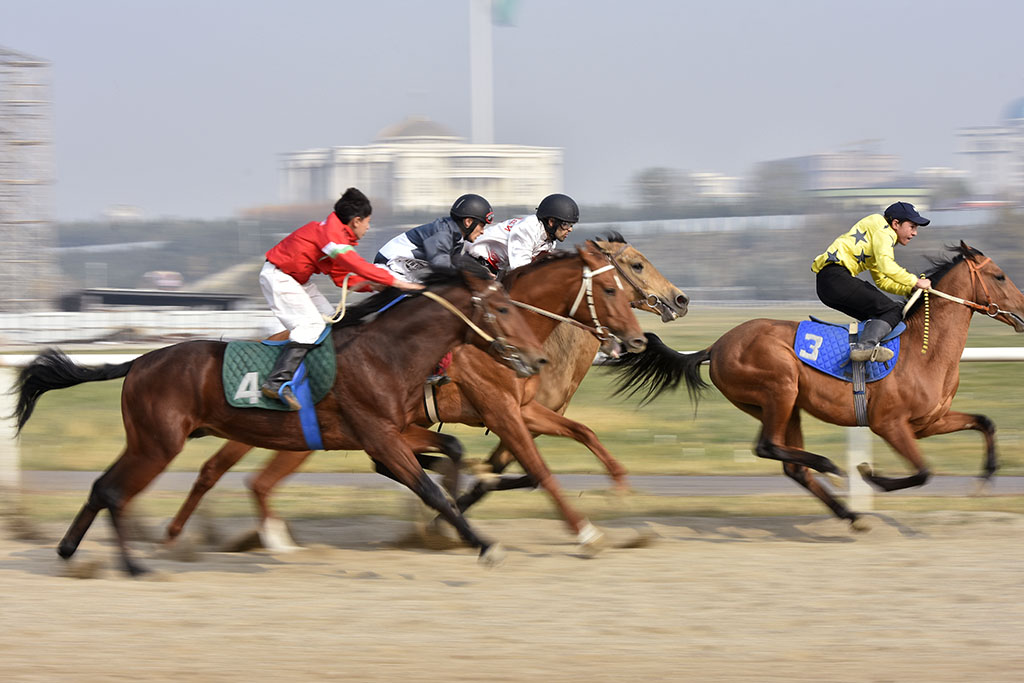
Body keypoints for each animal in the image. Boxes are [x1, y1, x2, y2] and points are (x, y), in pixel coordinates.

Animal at [12, 262, 548, 577]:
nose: (538, 359)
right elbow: (429, 488)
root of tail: (139, 361)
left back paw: (69, 551)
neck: (386, 352)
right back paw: (131, 564)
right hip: (158, 444)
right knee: (114, 491)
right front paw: (482, 543)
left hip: (145, 441)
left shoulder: (395, 429)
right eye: (501, 307)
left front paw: (460, 505)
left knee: (102, 486)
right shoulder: (380, 436)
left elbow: (451, 451)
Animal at [166, 237, 663, 552]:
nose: (640, 337)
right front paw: (586, 533)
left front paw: (623, 492)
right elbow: (536, 469)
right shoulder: (501, 411)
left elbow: (581, 433)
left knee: (241, 475)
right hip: (291, 435)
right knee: (242, 476)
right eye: (623, 277)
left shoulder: (525, 409)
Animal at [606, 242, 1024, 528]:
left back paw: (847, 511)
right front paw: (870, 475)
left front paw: (986, 477)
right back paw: (831, 468)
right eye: (1000, 276)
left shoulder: (928, 422)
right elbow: (924, 472)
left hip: (787, 405)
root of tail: (717, 345)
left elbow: (985, 422)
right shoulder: (890, 424)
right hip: (780, 388)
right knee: (768, 446)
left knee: (790, 464)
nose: (1023, 309)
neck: (923, 351)